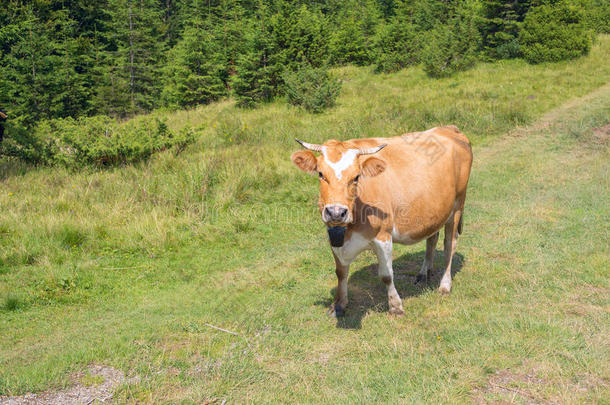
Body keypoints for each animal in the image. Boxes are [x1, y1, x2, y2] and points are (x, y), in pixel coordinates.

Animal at [292, 126, 472, 316]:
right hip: (435, 211)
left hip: (457, 205)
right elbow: (340, 272)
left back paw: (445, 285)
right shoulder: (334, 236)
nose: (336, 212)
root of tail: (449, 128)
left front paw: (395, 306)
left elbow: (386, 275)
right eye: (321, 174)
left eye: (357, 177)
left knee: (449, 245)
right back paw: (424, 274)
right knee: (432, 239)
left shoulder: (383, 235)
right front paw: (338, 304)